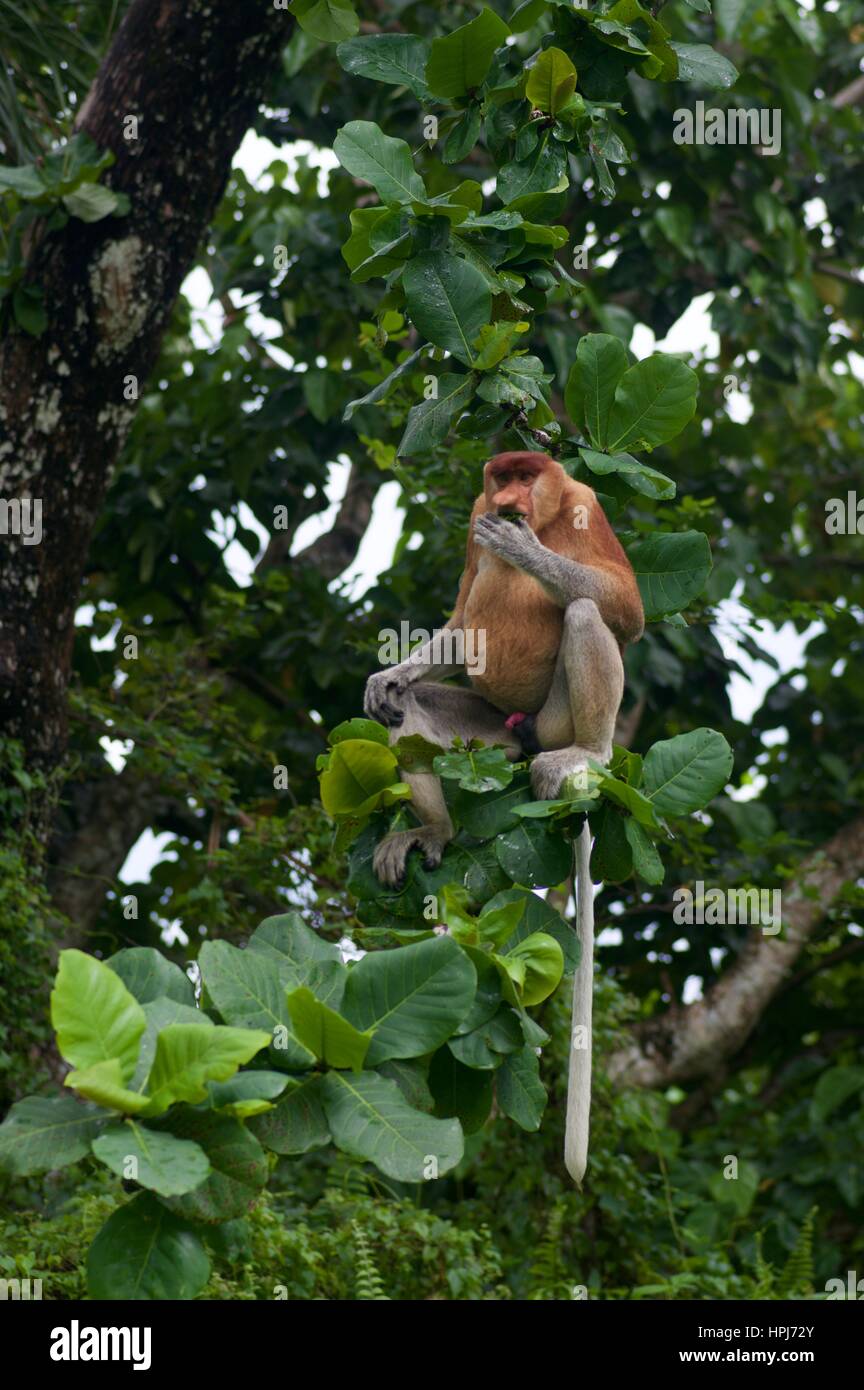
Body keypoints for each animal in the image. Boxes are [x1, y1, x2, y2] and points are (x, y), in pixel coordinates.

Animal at [363, 451, 644, 1182]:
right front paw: (385, 677)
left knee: (585, 611)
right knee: (409, 714)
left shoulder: (586, 504)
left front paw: (521, 548)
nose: (510, 500)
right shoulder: (472, 514)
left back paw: (587, 755)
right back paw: (432, 829)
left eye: (528, 476)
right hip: (493, 730)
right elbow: (464, 614)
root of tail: (530, 738)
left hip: (554, 719)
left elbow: (624, 608)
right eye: (501, 476)